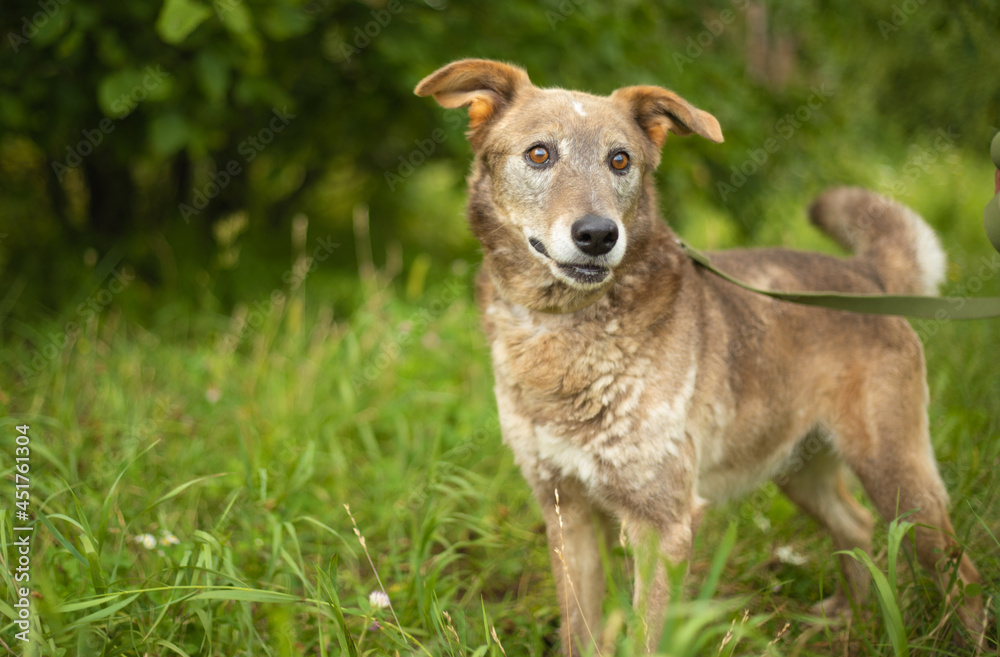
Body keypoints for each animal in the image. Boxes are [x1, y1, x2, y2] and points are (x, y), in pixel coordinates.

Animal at [414, 59, 984, 652]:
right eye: (539, 153)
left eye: (620, 160)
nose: (598, 235)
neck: (561, 330)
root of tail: (864, 274)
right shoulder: (567, 513)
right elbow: (580, 631)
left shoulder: (661, 523)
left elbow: (646, 635)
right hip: (797, 466)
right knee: (857, 526)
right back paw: (851, 620)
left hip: (897, 476)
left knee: (961, 572)